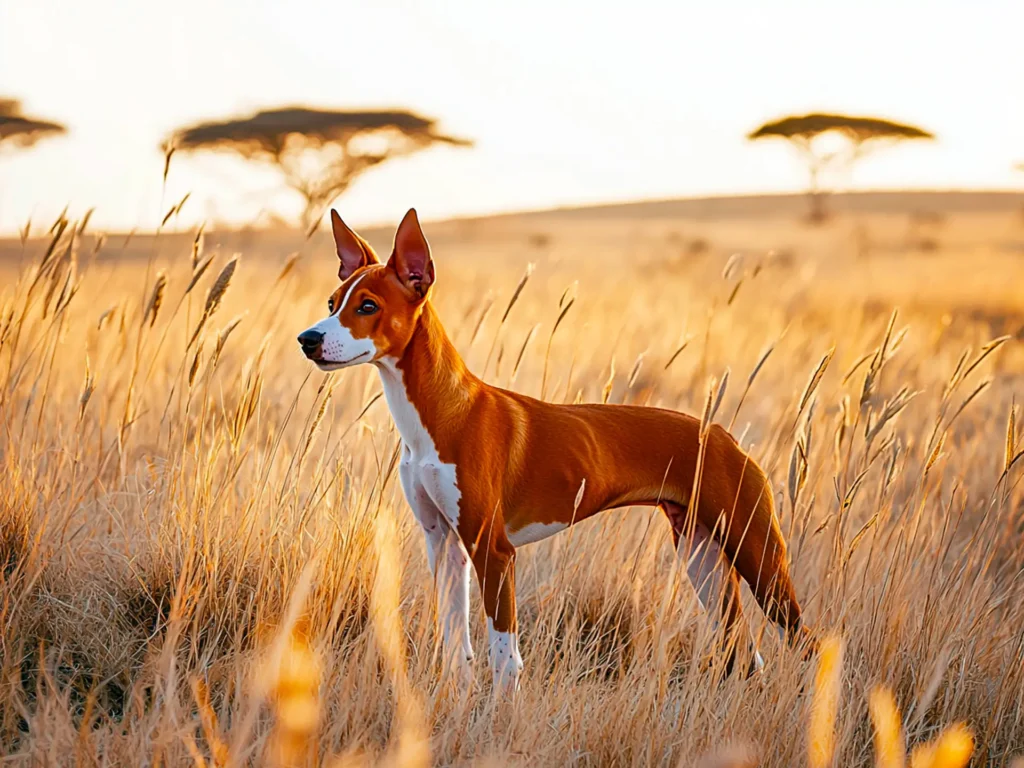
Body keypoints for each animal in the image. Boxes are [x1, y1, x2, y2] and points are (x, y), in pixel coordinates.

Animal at [296, 208, 806, 696]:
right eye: (332, 303)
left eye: (368, 306)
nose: (308, 339)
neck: (439, 412)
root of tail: (722, 434)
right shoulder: (443, 543)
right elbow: (456, 651)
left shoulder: (493, 551)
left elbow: (504, 659)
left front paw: (500, 718)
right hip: (702, 554)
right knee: (746, 653)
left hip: (759, 557)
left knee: (802, 639)